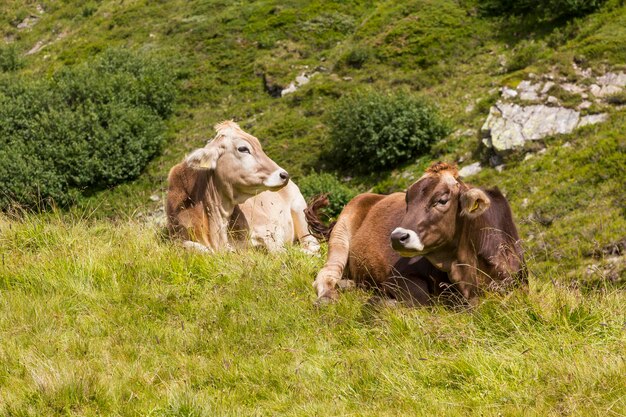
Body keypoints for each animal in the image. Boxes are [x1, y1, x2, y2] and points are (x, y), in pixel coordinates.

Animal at [167, 120, 316, 254]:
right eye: (243, 148)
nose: (284, 175)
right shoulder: (176, 238)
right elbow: (199, 249)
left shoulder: (269, 227)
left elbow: (279, 251)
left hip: (300, 210)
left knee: (312, 244)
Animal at [310, 162, 520, 302]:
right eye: (407, 200)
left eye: (442, 200)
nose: (397, 237)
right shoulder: (397, 278)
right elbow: (423, 299)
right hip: (340, 235)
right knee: (326, 275)